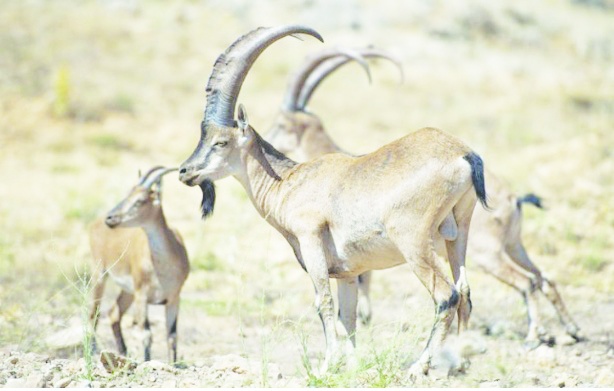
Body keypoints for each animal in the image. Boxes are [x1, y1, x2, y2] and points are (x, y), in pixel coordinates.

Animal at [88, 166, 190, 364]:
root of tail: (94, 224)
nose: (111, 218)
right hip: (100, 275)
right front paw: (147, 361)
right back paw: (92, 350)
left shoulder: (174, 298)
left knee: (114, 313)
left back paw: (123, 352)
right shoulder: (142, 296)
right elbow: (147, 334)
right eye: (128, 194)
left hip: (128, 291)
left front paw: (173, 365)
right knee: (93, 313)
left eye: (140, 200)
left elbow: (172, 336)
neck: (163, 268)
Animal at [179, 25, 490, 380]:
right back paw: (460, 363)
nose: (186, 171)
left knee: (445, 295)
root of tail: (463, 154)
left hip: (413, 241)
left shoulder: (311, 240)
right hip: (457, 233)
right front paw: (351, 366)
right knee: (464, 290)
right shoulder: (347, 272)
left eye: (221, 141)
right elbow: (348, 314)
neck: (288, 182)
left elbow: (323, 303)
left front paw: (327, 365)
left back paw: (419, 366)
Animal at [266, 48, 584, 346]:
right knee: (544, 279)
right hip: (514, 246)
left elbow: (361, 277)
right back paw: (572, 329)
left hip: (487, 254)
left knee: (526, 282)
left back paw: (534, 334)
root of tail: (513, 199)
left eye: (280, 124)